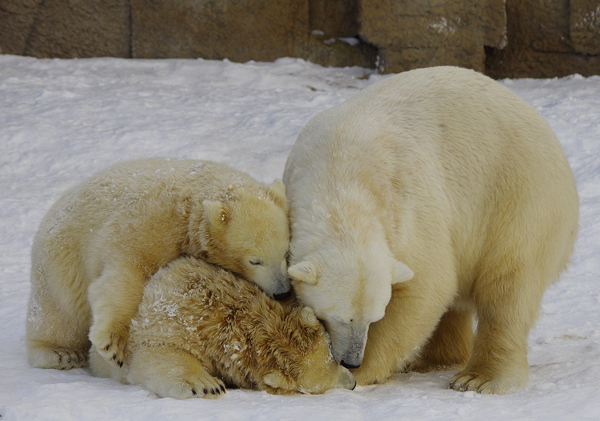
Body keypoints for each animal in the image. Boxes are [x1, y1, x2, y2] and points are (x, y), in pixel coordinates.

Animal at [27, 157, 290, 368]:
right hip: (62, 259)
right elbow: (126, 272)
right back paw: (60, 353)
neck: (190, 207)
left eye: (285, 253)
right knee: (59, 312)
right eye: (255, 261)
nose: (283, 291)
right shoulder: (150, 225)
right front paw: (113, 344)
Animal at [89, 256, 356, 398]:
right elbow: (157, 353)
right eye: (319, 387)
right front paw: (207, 385)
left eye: (333, 359)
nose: (353, 383)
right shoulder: (169, 318)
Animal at [284, 66, 580, 394]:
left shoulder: (407, 206)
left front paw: (360, 373)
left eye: (374, 317)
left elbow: (427, 284)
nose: (352, 360)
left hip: (520, 196)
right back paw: (431, 360)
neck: (340, 174)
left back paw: (478, 377)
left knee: (508, 285)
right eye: (337, 316)